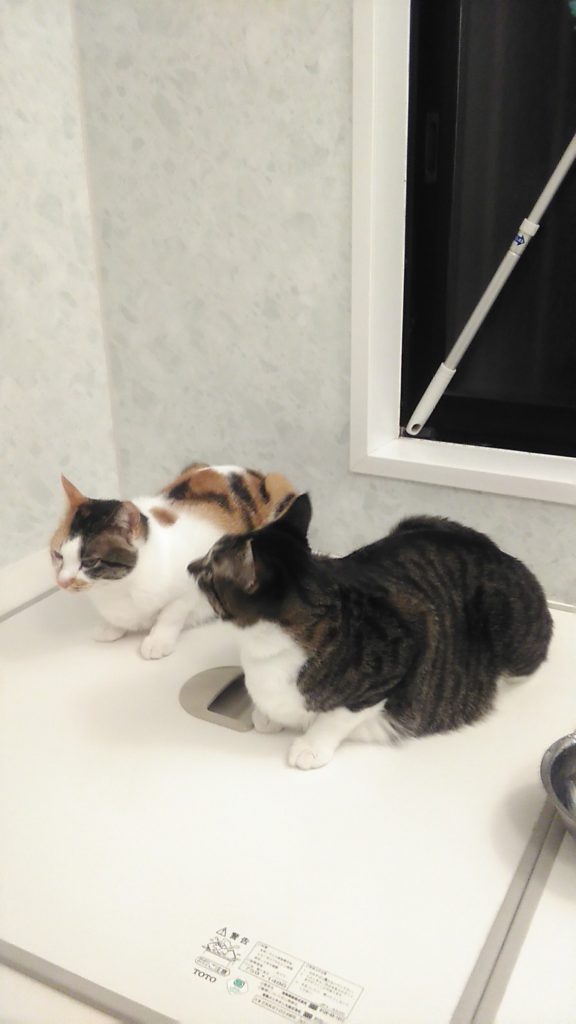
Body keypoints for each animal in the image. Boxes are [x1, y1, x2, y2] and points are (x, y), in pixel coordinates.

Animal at [50, 463, 296, 659]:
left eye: (90, 562)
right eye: (58, 555)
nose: (62, 582)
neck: (117, 588)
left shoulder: (191, 584)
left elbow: (171, 614)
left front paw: (157, 642)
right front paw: (110, 627)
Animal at [188, 494, 553, 769]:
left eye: (208, 570)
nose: (190, 566)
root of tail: (504, 556)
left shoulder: (400, 655)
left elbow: (338, 716)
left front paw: (310, 746)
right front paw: (267, 716)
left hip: (508, 629)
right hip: (416, 519)